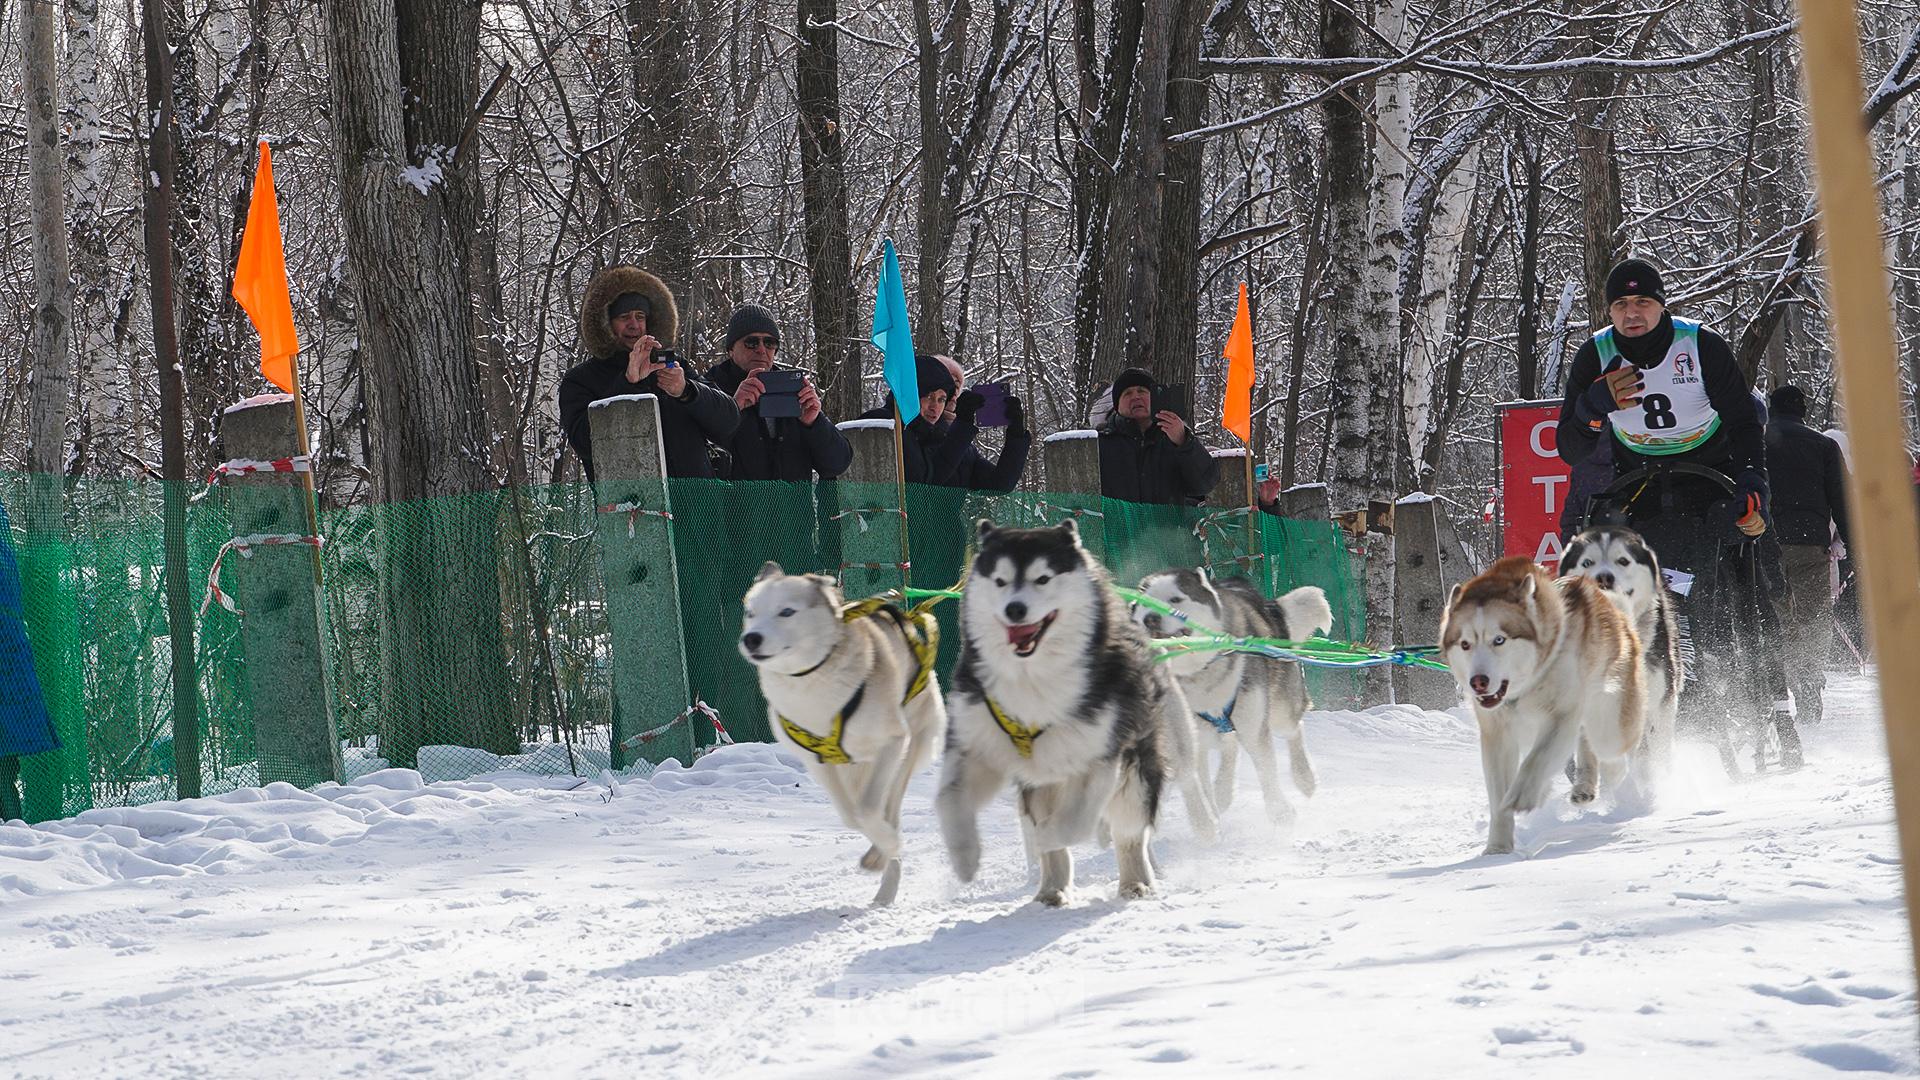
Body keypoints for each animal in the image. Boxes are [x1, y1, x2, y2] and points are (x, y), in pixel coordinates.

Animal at [737, 557, 948, 903]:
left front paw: (886, 846)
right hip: (854, 771)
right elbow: (851, 815)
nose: (751, 638)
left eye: (787, 611)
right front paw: (877, 845)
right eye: (751, 613)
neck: (811, 682)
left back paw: (885, 872)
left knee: (889, 811)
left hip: (905, 754)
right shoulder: (817, 762)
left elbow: (868, 811)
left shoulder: (892, 742)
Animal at [940, 518, 1213, 903]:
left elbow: (1098, 822)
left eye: (1043, 578)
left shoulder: (1111, 756)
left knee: (1143, 816)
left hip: (1155, 754)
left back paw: (1140, 877)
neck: (1037, 681)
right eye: (1000, 580)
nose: (1014, 609)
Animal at [1128, 568, 1328, 818]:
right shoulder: (1193, 733)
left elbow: (1265, 767)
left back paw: (1304, 778)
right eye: (1144, 603)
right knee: (1229, 746)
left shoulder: (1252, 722)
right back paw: (1223, 790)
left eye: (1175, 599)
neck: (1200, 671)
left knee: (1293, 730)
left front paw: (1279, 810)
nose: (1150, 618)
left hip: (1280, 709)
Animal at [1443, 553, 1643, 849]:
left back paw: (1619, 782)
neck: (1526, 687)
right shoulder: (1497, 734)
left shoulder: (1561, 715)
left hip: (1607, 720)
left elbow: (1536, 761)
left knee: (1609, 751)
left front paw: (1524, 795)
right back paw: (1585, 784)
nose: (1477, 681)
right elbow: (1498, 797)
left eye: (1499, 639)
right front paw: (1498, 849)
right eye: (1465, 644)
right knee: (1586, 741)